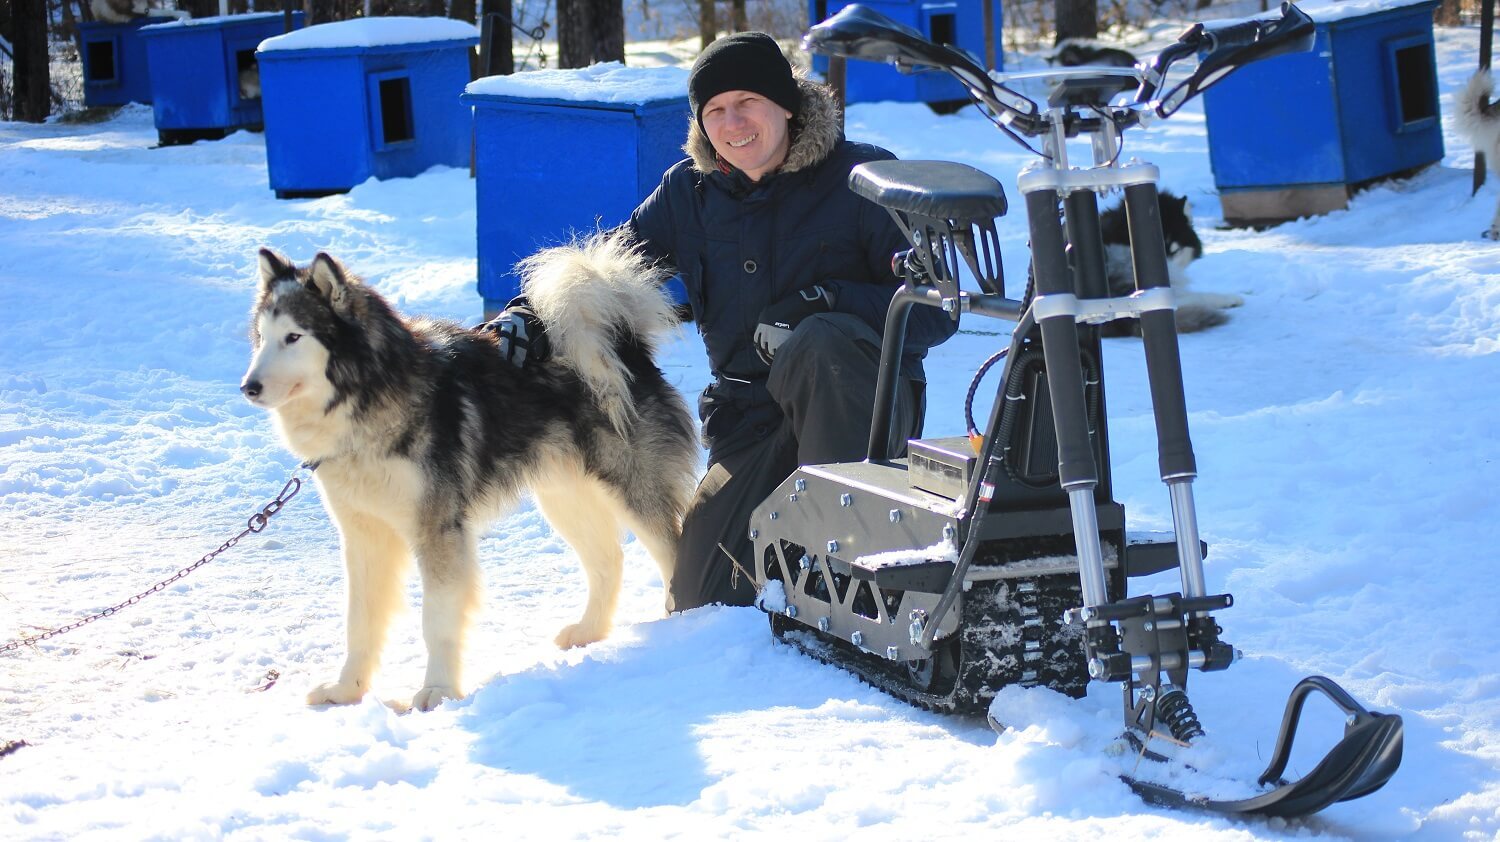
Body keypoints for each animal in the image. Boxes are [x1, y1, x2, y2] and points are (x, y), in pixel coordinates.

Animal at [240, 231, 696, 708]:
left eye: (294, 336)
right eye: (262, 337)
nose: (248, 387)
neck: (367, 398)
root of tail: (623, 343)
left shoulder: (437, 531)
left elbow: (436, 620)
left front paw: (436, 691)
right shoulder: (364, 537)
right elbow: (359, 622)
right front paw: (346, 689)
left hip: (631, 489)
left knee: (672, 548)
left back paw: (687, 623)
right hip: (564, 495)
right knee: (609, 560)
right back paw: (589, 630)